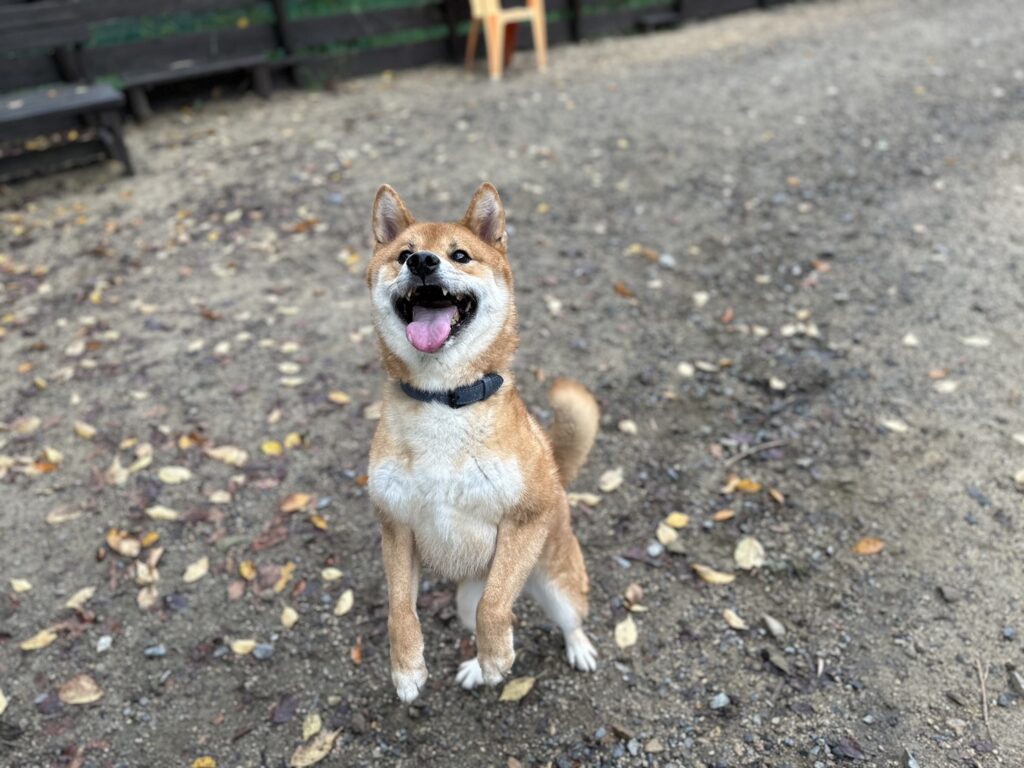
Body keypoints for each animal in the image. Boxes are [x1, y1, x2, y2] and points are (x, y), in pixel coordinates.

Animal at [365, 182, 600, 702]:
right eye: (404, 254)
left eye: (460, 255)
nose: (423, 262)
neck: (442, 400)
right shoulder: (396, 526)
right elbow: (399, 609)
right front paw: (406, 668)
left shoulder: (524, 519)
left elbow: (495, 607)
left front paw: (497, 657)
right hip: (464, 595)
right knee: (477, 612)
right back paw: (475, 668)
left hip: (555, 583)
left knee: (561, 618)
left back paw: (571, 648)